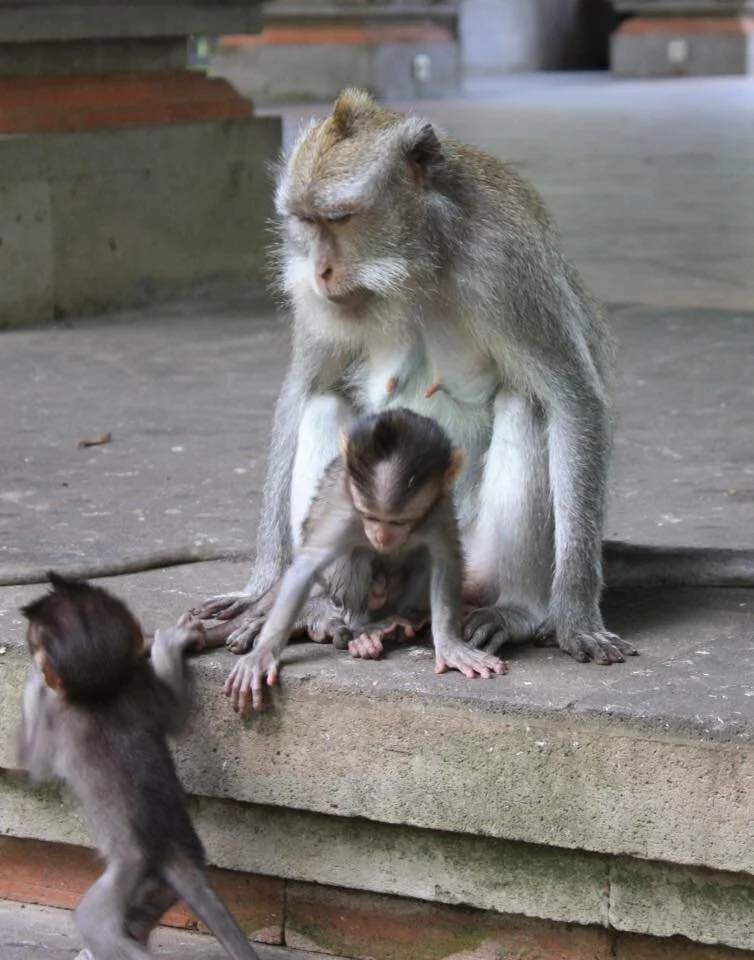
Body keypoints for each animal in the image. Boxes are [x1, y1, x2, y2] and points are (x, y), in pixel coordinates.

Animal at [18, 572, 261, 960]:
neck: (101, 693)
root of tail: (173, 853)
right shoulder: (138, 684)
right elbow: (177, 718)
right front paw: (171, 646)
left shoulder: (58, 713)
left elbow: (35, 766)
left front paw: (31, 685)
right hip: (161, 890)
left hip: (128, 879)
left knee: (95, 922)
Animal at [194, 87, 754, 668]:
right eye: (305, 222)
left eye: (341, 218)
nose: (321, 270)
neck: (417, 264)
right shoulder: (315, 299)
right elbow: (300, 392)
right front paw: (264, 588)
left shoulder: (503, 267)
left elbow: (572, 400)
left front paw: (576, 614)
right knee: (325, 404)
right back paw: (326, 609)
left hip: (466, 557)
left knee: (527, 406)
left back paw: (519, 610)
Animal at [224, 408, 507, 717]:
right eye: (370, 516)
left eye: (400, 521)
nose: (381, 537)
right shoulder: (347, 510)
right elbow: (305, 567)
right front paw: (263, 655)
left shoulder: (438, 508)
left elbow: (445, 562)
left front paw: (450, 644)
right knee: (355, 554)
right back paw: (363, 631)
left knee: (421, 557)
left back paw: (410, 617)